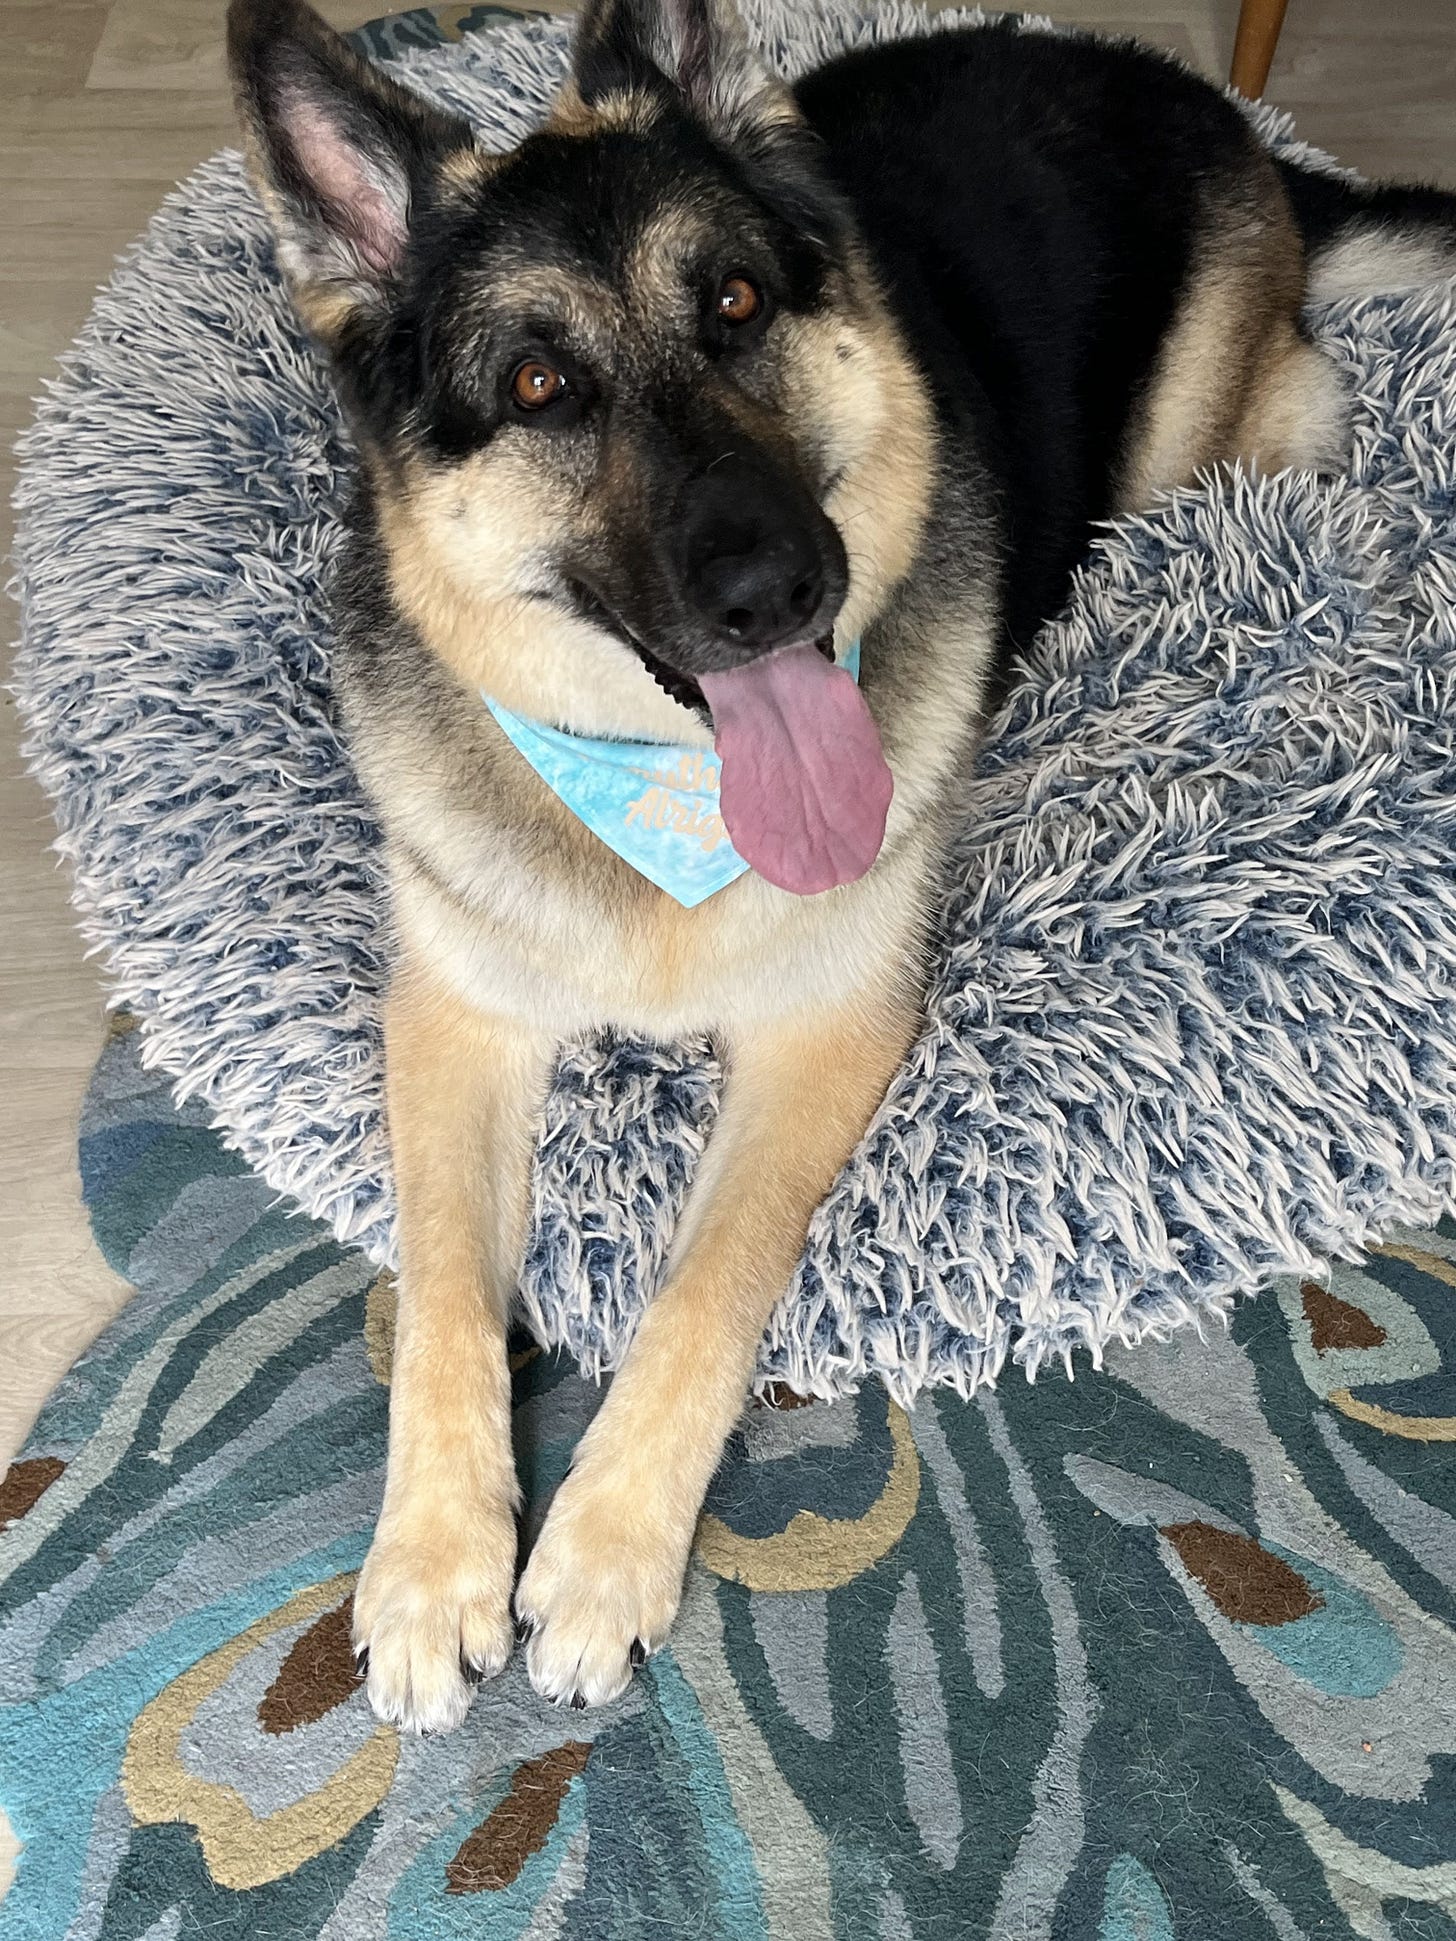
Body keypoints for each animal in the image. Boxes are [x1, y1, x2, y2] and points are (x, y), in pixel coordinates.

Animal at [227, 0, 1456, 1731]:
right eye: (537, 383)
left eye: (737, 302)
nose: (783, 589)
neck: (662, 809)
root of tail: (1187, 94)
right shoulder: (453, 1022)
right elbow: (448, 1291)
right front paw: (429, 1563)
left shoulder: (827, 1037)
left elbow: (705, 1290)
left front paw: (601, 1557)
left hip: (1222, 437)